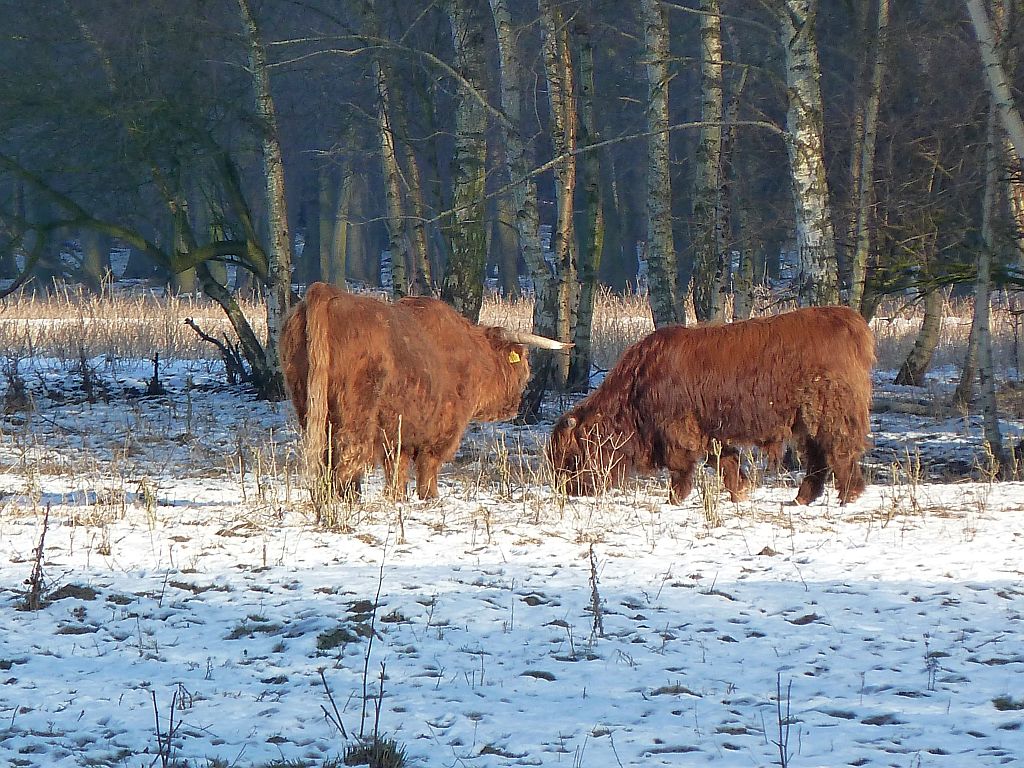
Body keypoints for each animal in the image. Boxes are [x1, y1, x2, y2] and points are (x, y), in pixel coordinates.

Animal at [280, 280, 569, 501]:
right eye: (523, 366)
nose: (515, 405)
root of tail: (327, 292)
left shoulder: (399, 433)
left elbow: (397, 469)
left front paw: (397, 498)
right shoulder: (442, 427)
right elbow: (427, 465)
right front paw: (429, 497)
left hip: (308, 404)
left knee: (325, 452)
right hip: (356, 408)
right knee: (348, 450)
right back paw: (347, 498)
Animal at [548, 303, 876, 507]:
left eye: (570, 456)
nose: (565, 490)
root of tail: (848, 320)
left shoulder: (677, 428)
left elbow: (681, 465)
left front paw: (674, 499)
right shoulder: (710, 429)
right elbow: (724, 462)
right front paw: (740, 492)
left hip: (829, 410)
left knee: (839, 449)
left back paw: (848, 495)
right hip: (807, 418)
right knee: (818, 455)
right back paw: (802, 499)